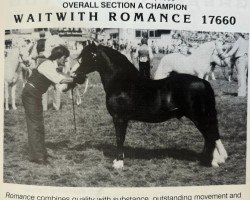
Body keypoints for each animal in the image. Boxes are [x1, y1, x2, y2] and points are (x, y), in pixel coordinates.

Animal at [75, 42, 228, 169]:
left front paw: (118, 163)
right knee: (210, 136)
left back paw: (212, 162)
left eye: (89, 57)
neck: (122, 82)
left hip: (199, 117)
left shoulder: (119, 118)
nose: (76, 75)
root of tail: (204, 82)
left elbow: (120, 138)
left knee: (211, 136)